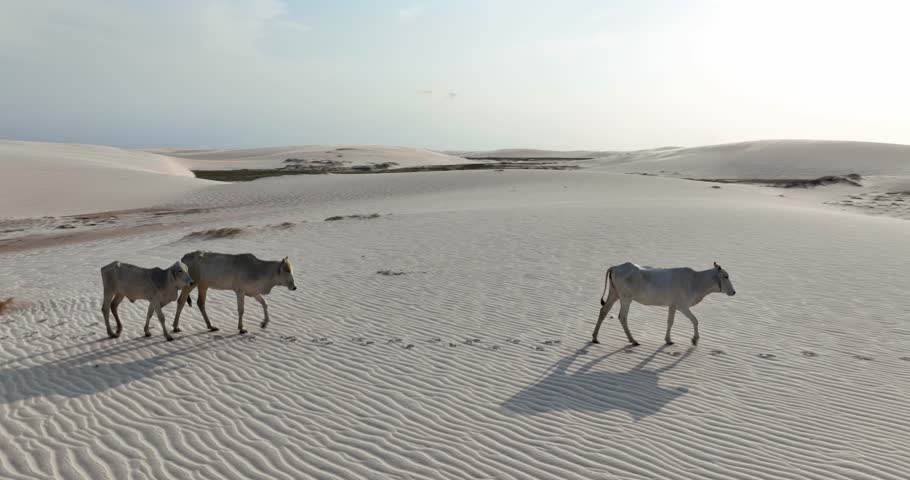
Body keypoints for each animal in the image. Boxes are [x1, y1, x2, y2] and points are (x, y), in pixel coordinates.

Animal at [592, 262, 736, 346]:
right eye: (726, 276)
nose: (734, 292)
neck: (696, 281)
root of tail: (616, 267)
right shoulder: (682, 306)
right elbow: (695, 320)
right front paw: (694, 339)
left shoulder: (672, 306)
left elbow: (670, 321)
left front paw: (668, 339)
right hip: (626, 298)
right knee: (622, 317)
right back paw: (633, 340)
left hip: (614, 294)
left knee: (603, 311)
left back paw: (595, 338)